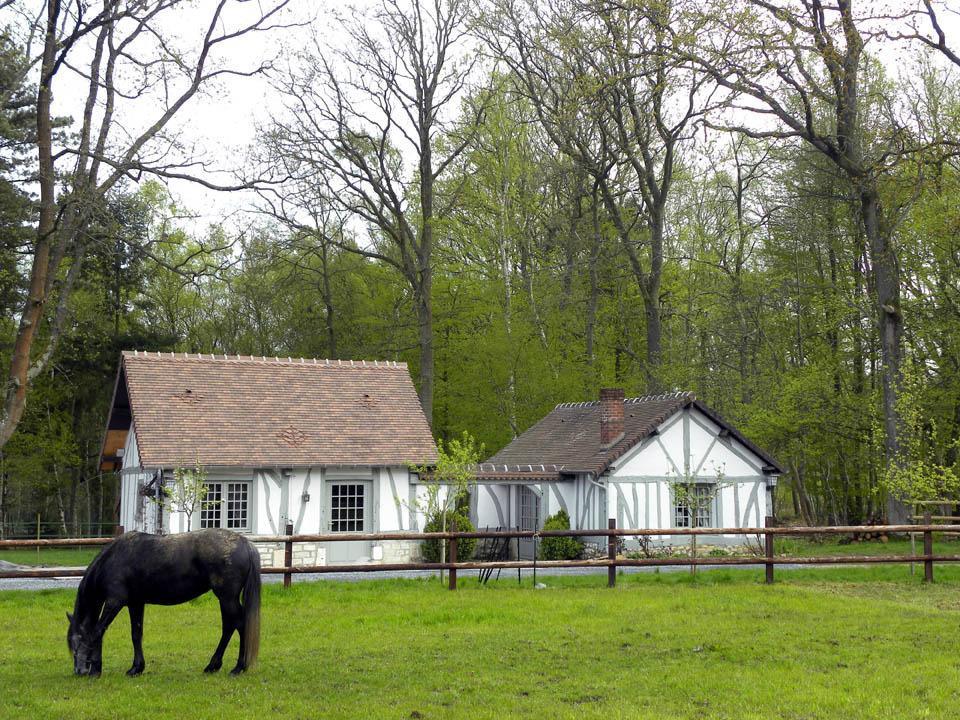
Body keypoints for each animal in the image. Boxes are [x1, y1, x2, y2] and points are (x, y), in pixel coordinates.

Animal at [65, 524, 260, 676]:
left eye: (77, 641)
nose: (79, 671)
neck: (113, 559)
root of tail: (245, 543)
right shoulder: (135, 603)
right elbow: (136, 634)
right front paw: (136, 668)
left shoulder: (115, 602)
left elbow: (98, 631)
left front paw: (96, 670)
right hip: (226, 599)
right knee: (230, 626)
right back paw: (214, 666)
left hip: (227, 597)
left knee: (238, 625)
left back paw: (237, 667)